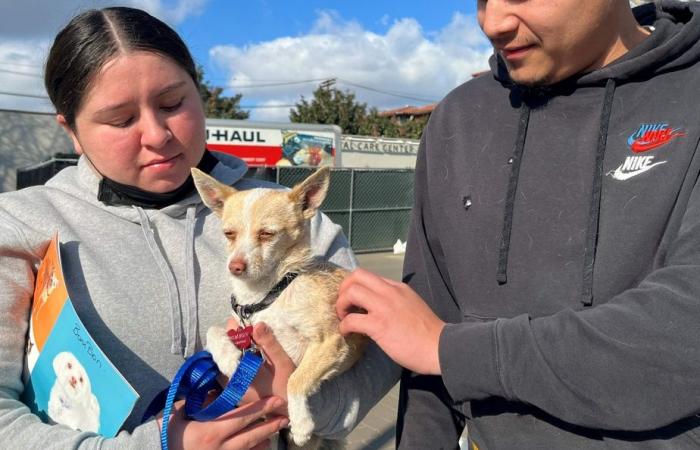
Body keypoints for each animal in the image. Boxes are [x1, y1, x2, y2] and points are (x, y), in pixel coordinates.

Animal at [191, 167, 366, 448]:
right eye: (229, 234)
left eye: (267, 234)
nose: (235, 266)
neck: (267, 294)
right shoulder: (237, 326)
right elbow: (213, 330)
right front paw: (227, 357)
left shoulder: (332, 343)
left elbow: (295, 379)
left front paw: (302, 422)